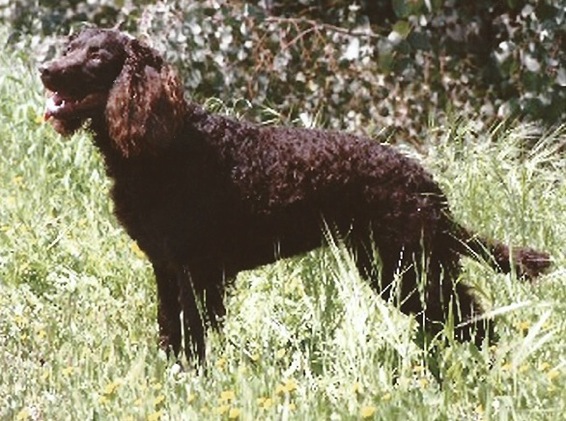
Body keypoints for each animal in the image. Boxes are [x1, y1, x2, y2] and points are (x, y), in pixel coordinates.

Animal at [38, 27, 552, 362]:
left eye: (96, 57)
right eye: (68, 48)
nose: (45, 70)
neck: (166, 145)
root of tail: (423, 181)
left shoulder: (197, 269)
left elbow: (194, 331)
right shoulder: (167, 265)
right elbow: (171, 328)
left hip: (407, 261)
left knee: (472, 319)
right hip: (394, 263)